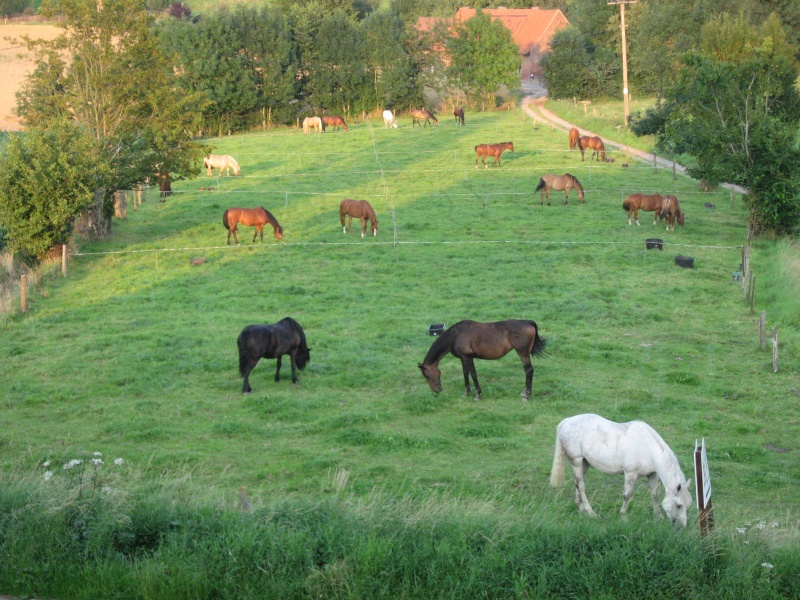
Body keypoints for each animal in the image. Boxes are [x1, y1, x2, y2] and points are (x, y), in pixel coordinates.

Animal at [552, 414, 692, 528]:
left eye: (688, 504)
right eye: (679, 505)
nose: (681, 527)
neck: (647, 448)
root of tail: (566, 421)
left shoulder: (652, 474)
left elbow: (655, 494)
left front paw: (658, 516)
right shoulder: (630, 474)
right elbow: (627, 495)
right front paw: (623, 516)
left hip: (583, 464)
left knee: (576, 483)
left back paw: (580, 507)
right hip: (576, 461)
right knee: (581, 487)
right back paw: (591, 512)